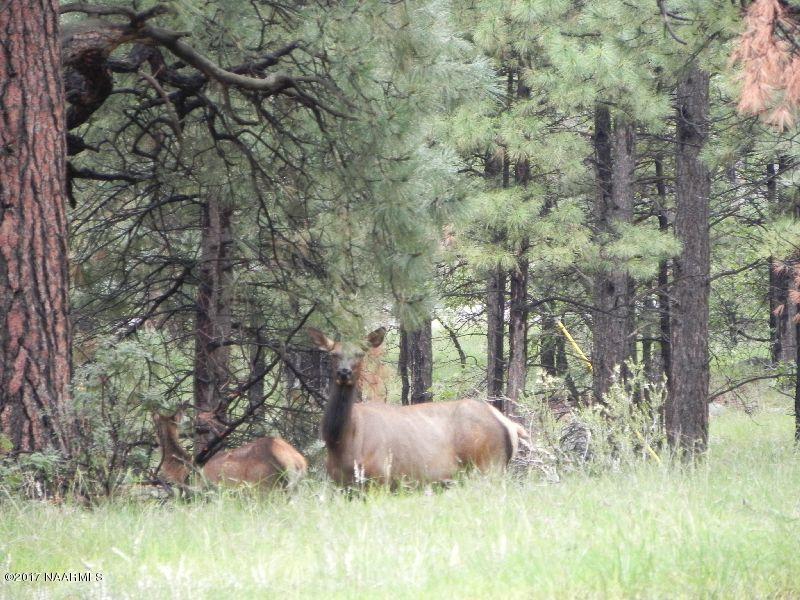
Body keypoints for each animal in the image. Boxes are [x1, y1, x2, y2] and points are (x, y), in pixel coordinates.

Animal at [308, 326, 530, 486]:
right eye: (333, 354)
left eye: (360, 354)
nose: (344, 372)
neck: (340, 441)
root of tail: (510, 425)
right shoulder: (340, 484)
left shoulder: (380, 477)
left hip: (489, 466)